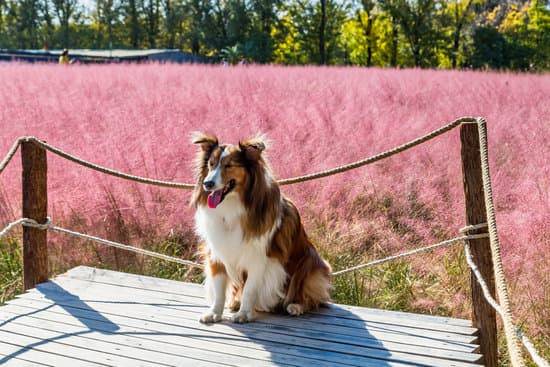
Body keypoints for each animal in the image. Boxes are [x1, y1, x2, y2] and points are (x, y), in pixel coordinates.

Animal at [194, 134, 332, 324]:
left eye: (229, 165)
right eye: (211, 164)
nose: (207, 183)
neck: (233, 206)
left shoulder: (259, 257)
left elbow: (250, 289)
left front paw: (244, 314)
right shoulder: (217, 251)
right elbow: (219, 287)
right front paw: (214, 312)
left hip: (311, 263)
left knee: (311, 297)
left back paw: (296, 306)